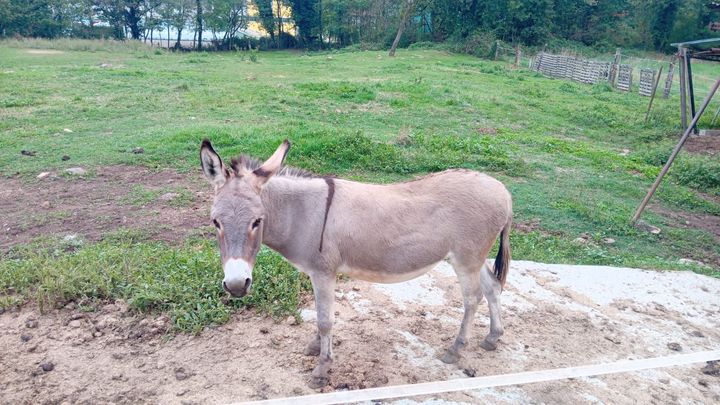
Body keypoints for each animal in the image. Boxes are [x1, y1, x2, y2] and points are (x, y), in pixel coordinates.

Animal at [199, 139, 512, 388]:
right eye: (215, 222)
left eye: (257, 221)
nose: (237, 285)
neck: (300, 214)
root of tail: (504, 191)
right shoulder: (317, 275)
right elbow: (320, 315)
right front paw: (315, 347)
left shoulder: (323, 272)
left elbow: (325, 320)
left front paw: (321, 370)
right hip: (474, 258)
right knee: (492, 287)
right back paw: (493, 338)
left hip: (465, 258)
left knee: (472, 299)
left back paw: (455, 350)